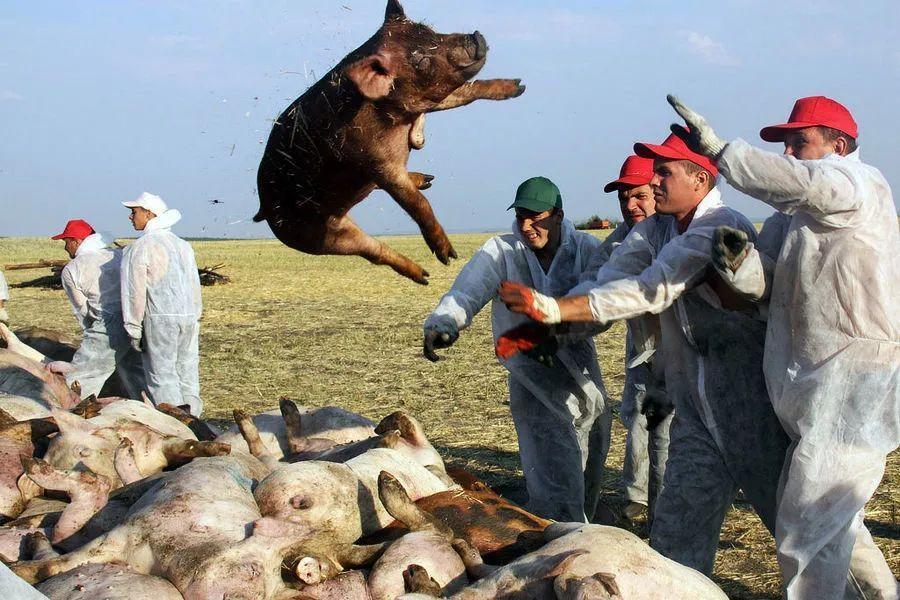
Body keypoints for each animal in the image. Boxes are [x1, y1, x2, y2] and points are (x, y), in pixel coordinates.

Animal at [254, 0, 525, 284]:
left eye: (430, 30)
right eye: (420, 60)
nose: (475, 37)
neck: (394, 112)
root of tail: (264, 210)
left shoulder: (427, 98)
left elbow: (466, 93)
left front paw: (518, 86)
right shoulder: (377, 162)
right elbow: (416, 203)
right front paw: (449, 255)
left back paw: (427, 180)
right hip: (318, 237)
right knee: (375, 251)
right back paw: (425, 275)